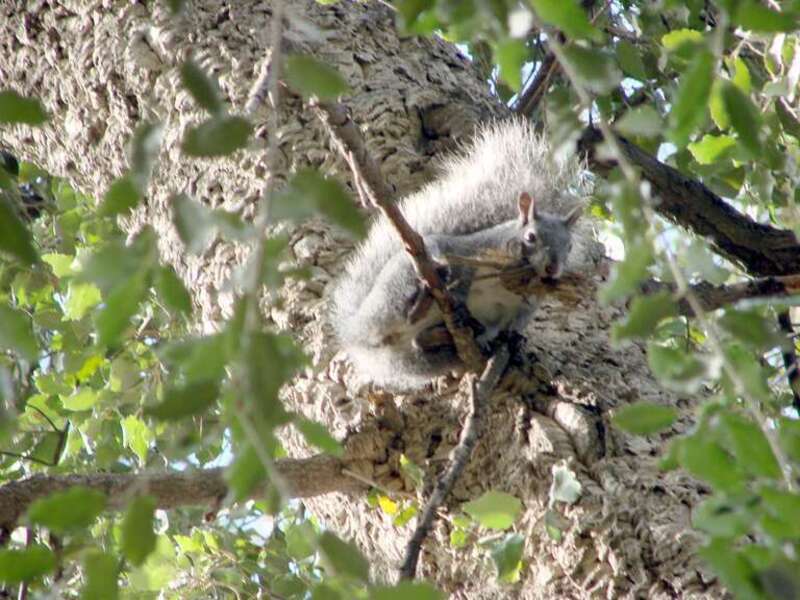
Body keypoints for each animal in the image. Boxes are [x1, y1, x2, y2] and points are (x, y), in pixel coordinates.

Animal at [330, 119, 586, 391]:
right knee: (403, 310)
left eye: (569, 246)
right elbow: (458, 268)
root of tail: (355, 333)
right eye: (531, 237)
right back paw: (422, 302)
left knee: (421, 342)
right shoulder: (470, 251)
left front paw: (507, 341)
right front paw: (462, 303)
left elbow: (509, 326)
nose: (552, 268)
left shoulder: (523, 307)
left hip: (421, 357)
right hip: (396, 286)